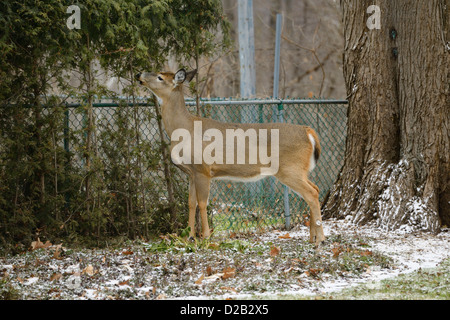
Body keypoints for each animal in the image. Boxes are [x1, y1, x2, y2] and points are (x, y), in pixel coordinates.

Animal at [135, 69, 326, 245]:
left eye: (160, 77)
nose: (139, 75)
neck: (184, 129)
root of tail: (308, 131)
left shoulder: (203, 169)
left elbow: (203, 203)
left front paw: (205, 237)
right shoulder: (191, 173)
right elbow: (191, 202)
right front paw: (188, 237)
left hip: (289, 169)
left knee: (311, 193)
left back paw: (320, 239)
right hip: (298, 170)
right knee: (315, 188)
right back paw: (313, 237)